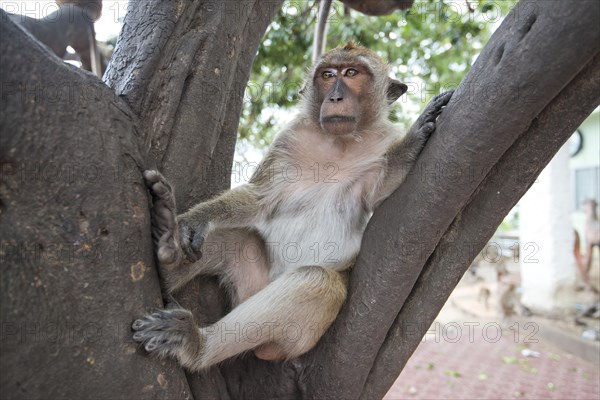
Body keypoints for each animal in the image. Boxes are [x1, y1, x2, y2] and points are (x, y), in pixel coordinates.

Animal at [131, 42, 450, 370]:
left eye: (351, 73)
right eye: (327, 75)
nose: (335, 97)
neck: (340, 143)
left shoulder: (382, 140)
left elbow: (381, 188)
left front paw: (415, 136)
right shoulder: (291, 137)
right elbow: (259, 198)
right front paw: (199, 218)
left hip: (295, 340)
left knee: (319, 283)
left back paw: (196, 344)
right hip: (251, 285)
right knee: (234, 238)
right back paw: (168, 251)